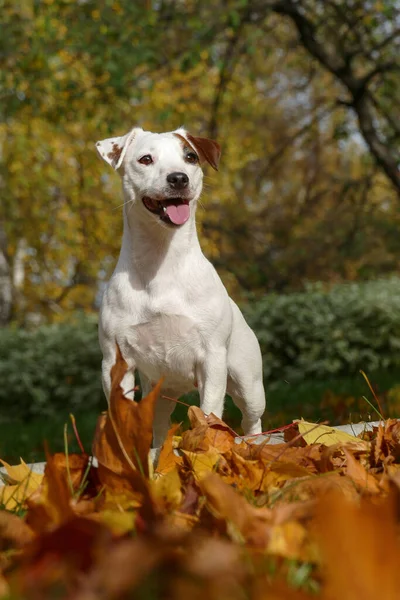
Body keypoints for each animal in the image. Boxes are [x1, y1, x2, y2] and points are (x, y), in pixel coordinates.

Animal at [95, 127, 266, 450]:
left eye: (190, 157)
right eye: (145, 159)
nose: (178, 178)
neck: (161, 264)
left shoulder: (212, 357)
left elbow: (210, 411)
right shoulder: (116, 362)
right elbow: (121, 415)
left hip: (247, 381)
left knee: (252, 418)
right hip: (159, 392)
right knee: (160, 426)